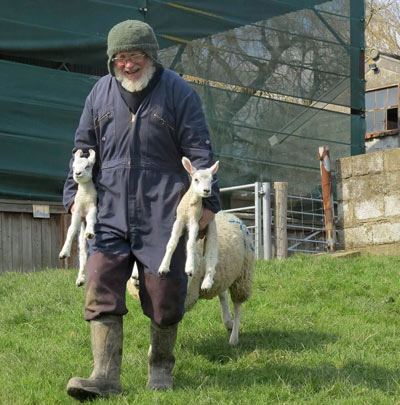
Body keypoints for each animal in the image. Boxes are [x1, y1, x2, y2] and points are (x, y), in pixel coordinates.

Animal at [59, 149, 97, 288]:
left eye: (88, 166)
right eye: (74, 167)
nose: (77, 174)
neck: (85, 195)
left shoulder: (92, 207)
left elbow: (91, 219)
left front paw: (90, 232)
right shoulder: (77, 211)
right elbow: (71, 230)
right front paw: (64, 252)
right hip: (82, 238)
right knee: (83, 255)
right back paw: (80, 279)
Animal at [127, 210, 253, 346]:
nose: (135, 278)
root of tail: (229, 214)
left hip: (242, 276)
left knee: (237, 307)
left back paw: (233, 337)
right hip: (223, 273)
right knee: (223, 294)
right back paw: (228, 321)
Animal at [157, 156, 219, 292]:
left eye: (212, 180)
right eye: (195, 179)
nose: (207, 190)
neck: (190, 203)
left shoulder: (194, 222)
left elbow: (191, 244)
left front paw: (188, 268)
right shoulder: (179, 221)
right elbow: (171, 243)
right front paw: (163, 268)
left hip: (212, 228)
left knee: (211, 256)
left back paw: (206, 283)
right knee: (197, 256)